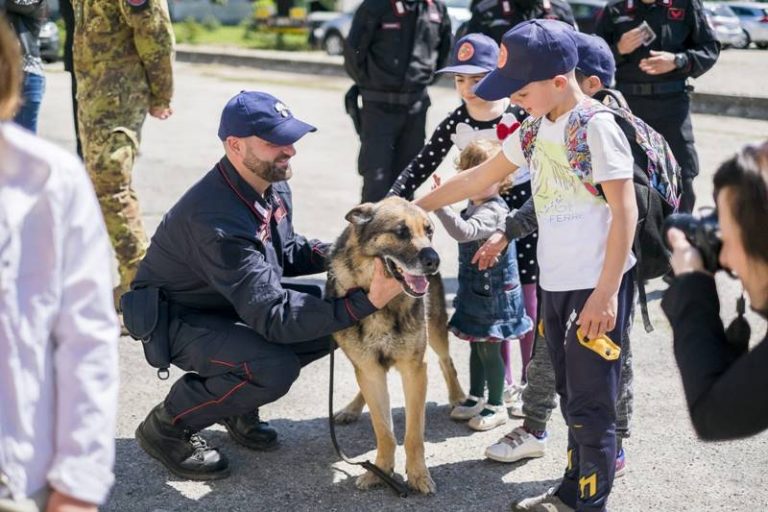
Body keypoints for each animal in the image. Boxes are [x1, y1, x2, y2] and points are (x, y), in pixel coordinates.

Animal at [326, 197, 464, 496]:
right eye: (401, 232)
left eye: (429, 231)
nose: (434, 261)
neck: (381, 305)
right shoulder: (369, 369)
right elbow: (383, 430)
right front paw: (380, 471)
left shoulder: (415, 370)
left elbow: (413, 434)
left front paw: (418, 475)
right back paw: (352, 409)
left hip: (436, 329)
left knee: (446, 361)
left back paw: (458, 396)